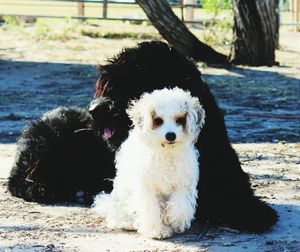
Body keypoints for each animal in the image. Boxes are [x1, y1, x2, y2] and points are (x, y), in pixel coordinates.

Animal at [94, 87, 206, 238]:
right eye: (158, 120)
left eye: (180, 119)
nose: (170, 135)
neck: (165, 152)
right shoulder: (146, 188)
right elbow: (151, 209)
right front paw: (156, 230)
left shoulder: (182, 184)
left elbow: (180, 206)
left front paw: (174, 220)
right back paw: (126, 222)